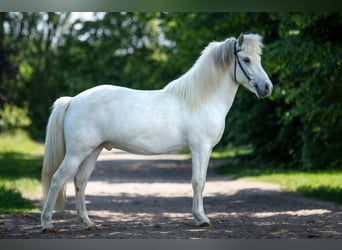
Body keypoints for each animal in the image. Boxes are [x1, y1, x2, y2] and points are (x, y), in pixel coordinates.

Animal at [41, 32, 274, 232]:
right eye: (246, 59)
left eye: (259, 58)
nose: (267, 87)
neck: (201, 100)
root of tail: (73, 100)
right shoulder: (201, 148)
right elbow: (198, 182)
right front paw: (201, 219)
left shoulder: (204, 149)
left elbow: (200, 182)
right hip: (77, 153)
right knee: (58, 179)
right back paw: (47, 224)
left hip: (92, 151)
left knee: (80, 182)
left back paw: (88, 223)